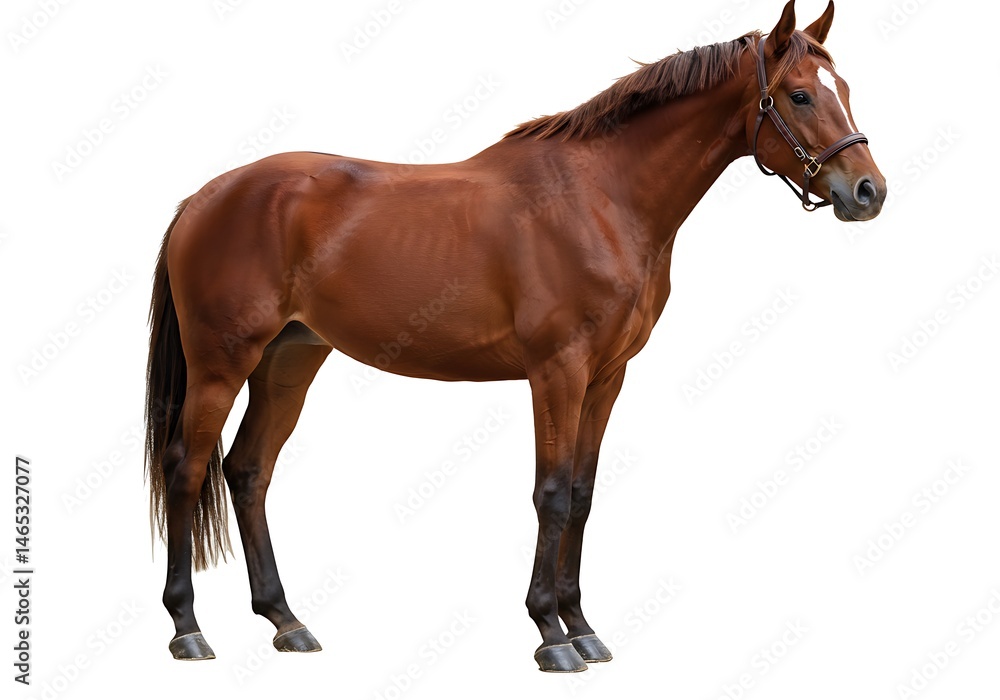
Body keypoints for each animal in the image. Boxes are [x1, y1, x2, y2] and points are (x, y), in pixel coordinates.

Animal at [145, 0, 885, 672]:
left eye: (844, 90)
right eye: (798, 95)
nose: (868, 192)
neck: (601, 198)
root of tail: (202, 199)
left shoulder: (607, 375)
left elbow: (582, 495)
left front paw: (583, 627)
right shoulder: (557, 370)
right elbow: (550, 494)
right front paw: (550, 635)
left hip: (290, 359)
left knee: (248, 470)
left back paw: (286, 621)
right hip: (222, 363)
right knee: (187, 467)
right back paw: (187, 628)